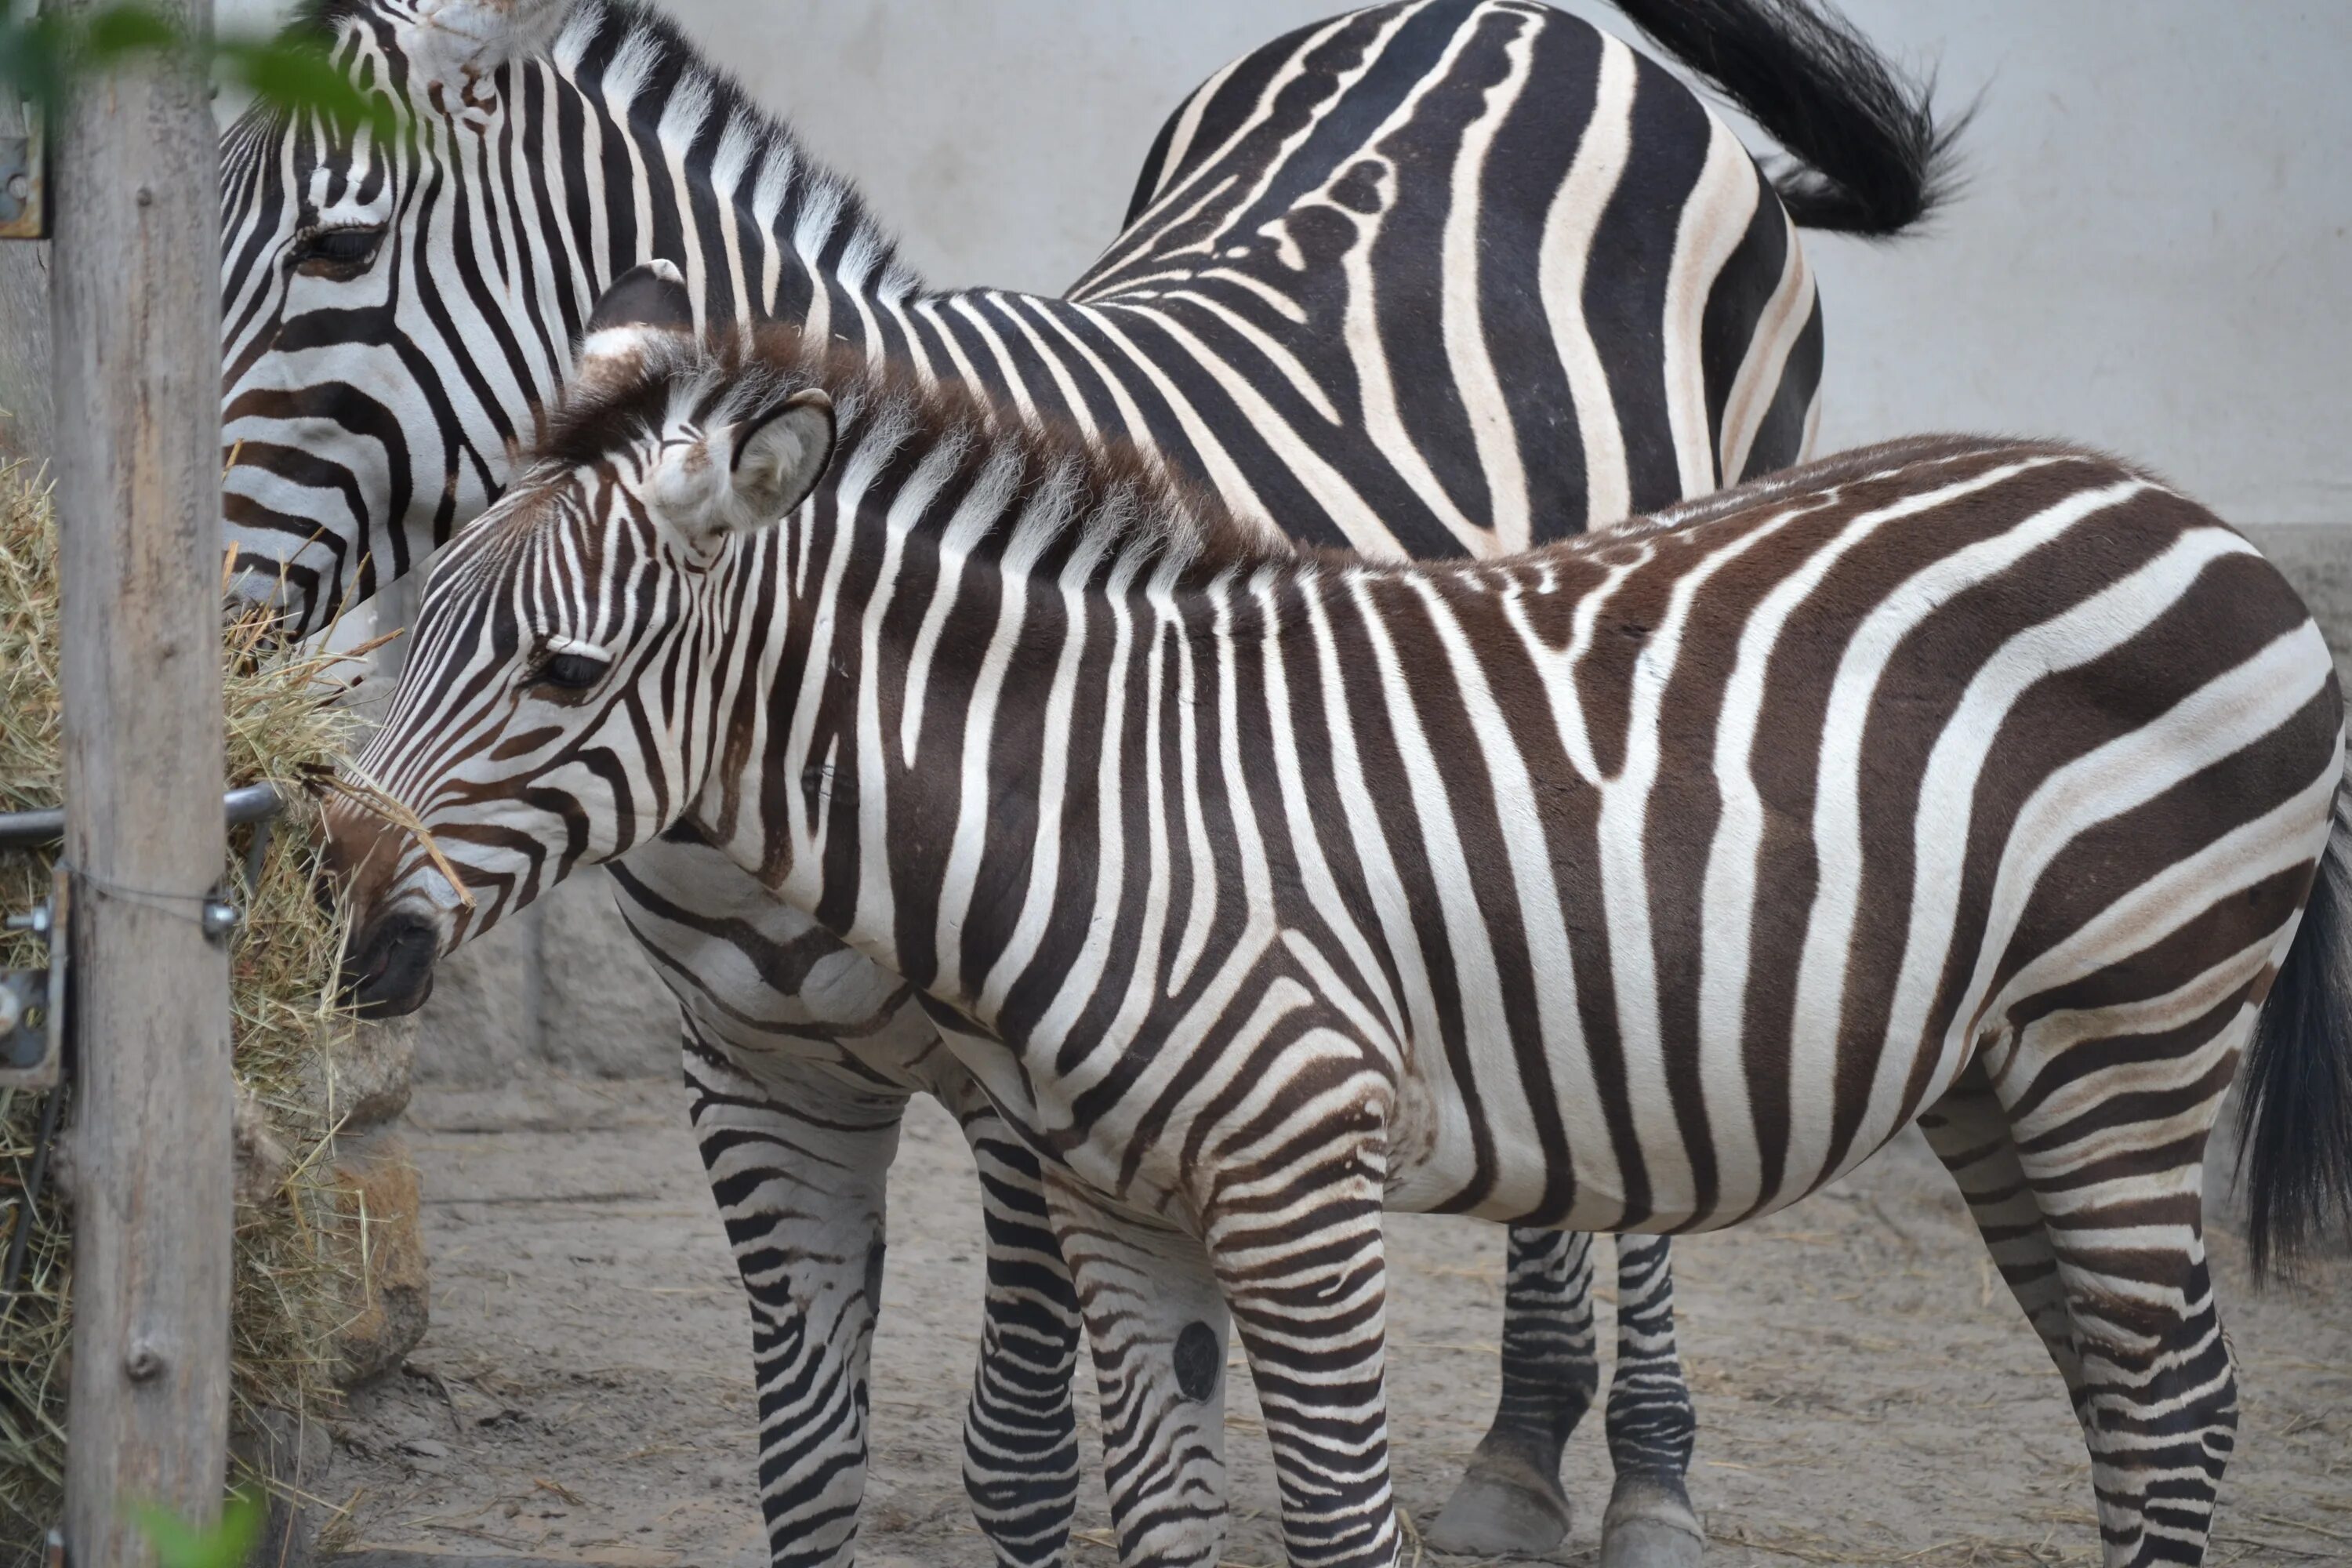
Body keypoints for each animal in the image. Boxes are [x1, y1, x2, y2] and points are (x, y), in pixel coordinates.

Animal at [229, 0, 1966, 1561]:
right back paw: (1523, 1452)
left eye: (337, 244)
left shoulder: (1039, 1095)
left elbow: (1019, 1463)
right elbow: (808, 1469)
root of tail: (1522, 16)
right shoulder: (754, 1073)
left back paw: (1641, 1478)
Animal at [332, 293, 2352, 1568]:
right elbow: (1161, 1518)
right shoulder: (1116, 1197)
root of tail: (2197, 519)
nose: (341, 916)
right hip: (2004, 1074)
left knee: (2167, 1394)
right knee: (2151, 1389)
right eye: (411, 626)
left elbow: (1335, 1517)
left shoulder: (1299, 1182)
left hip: (2131, 1034)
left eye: (563, 669)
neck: (1106, 804)